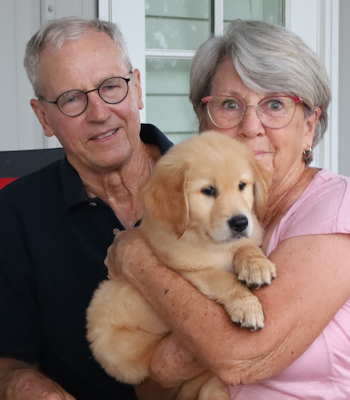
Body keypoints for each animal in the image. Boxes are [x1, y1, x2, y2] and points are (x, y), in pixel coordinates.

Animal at [87, 131, 276, 400]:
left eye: (242, 186)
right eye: (208, 190)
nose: (240, 222)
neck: (207, 240)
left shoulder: (245, 237)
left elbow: (246, 247)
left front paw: (256, 267)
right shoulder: (188, 267)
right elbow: (224, 279)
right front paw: (247, 306)